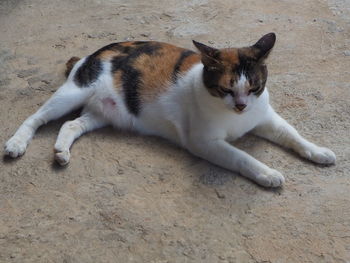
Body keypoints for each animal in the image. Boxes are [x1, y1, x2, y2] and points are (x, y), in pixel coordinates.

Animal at [4, 33, 334, 188]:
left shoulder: (264, 117)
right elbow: (243, 157)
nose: (241, 106)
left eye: (254, 87)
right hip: (72, 93)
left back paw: (61, 151)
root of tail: (91, 54)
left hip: (103, 113)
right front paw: (268, 174)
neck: (235, 117)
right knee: (35, 118)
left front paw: (318, 152)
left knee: (70, 125)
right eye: (226, 89)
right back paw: (16, 144)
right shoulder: (204, 142)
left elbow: (293, 133)